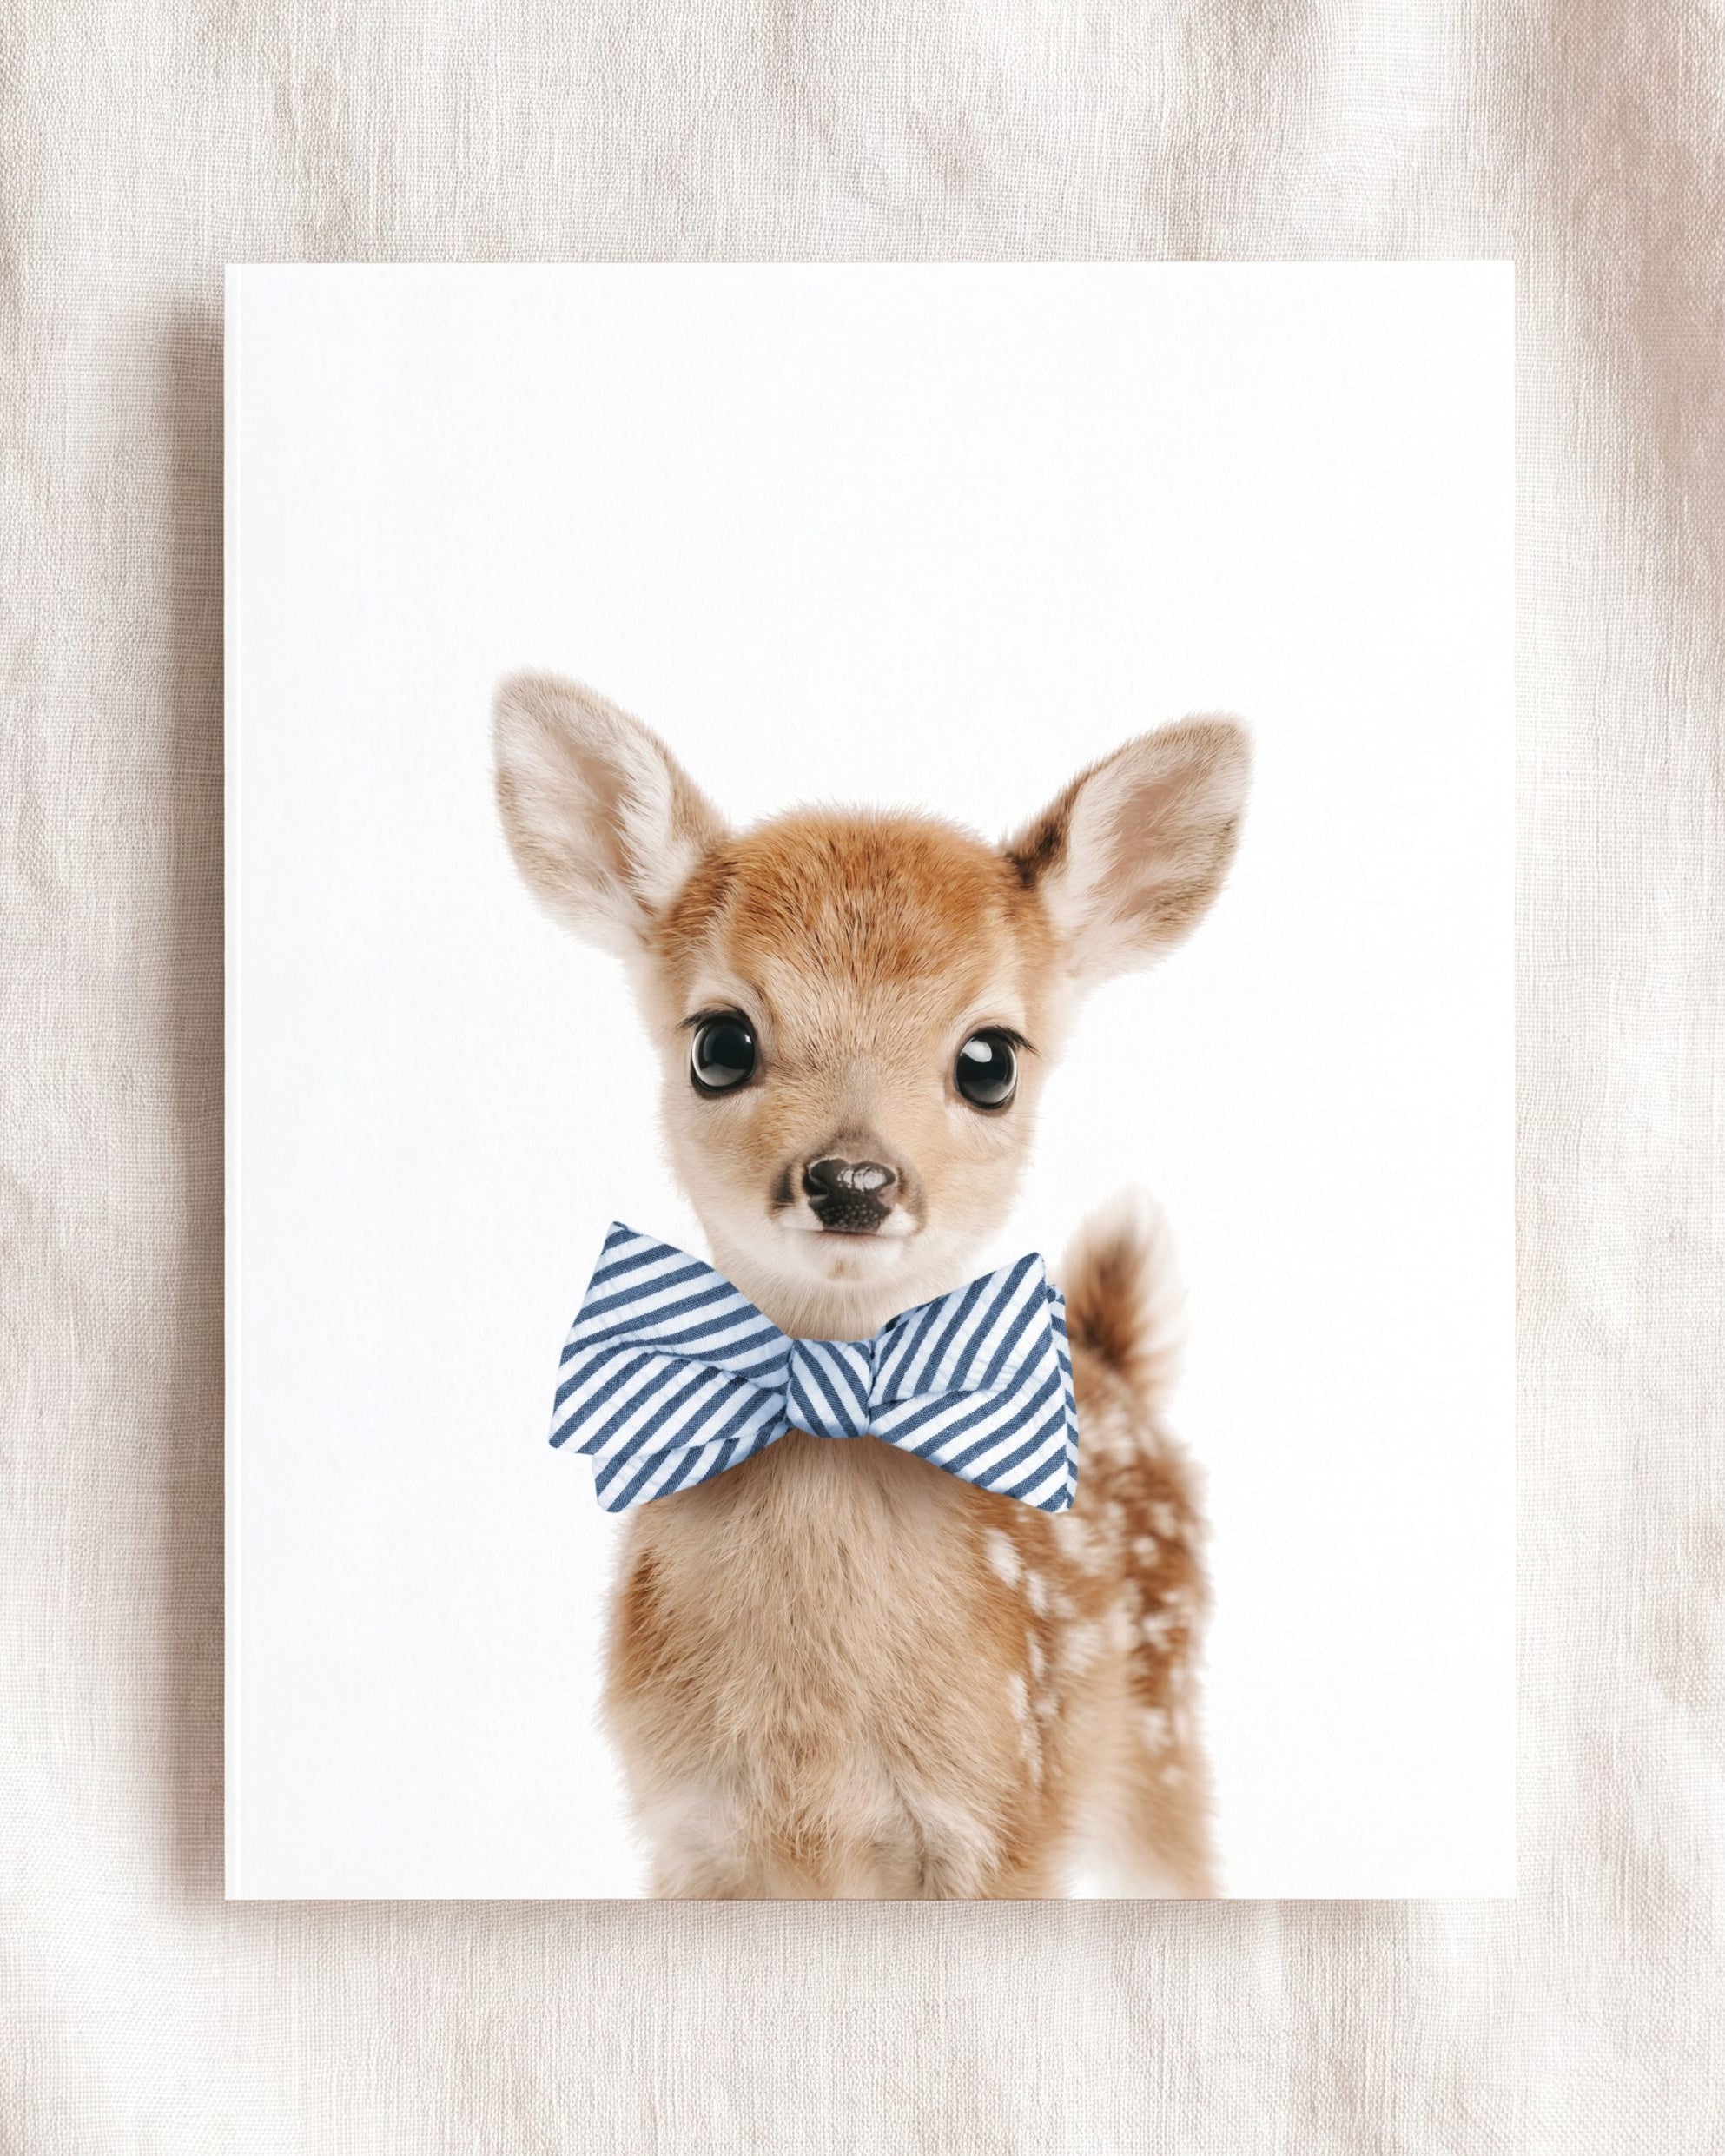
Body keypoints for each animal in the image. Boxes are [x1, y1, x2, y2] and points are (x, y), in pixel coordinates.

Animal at [494, 671, 1249, 1897]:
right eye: (720, 1043)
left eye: (990, 1060)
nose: (852, 1179)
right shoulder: (686, 1831)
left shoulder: (1004, 1819)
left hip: (1159, 1741)